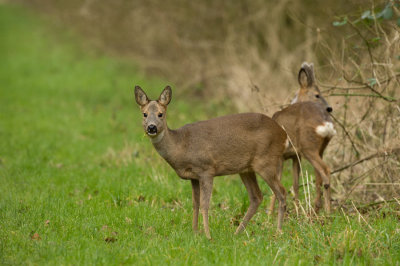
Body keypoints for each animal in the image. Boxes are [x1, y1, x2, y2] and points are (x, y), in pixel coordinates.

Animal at [134, 85, 288, 239]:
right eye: (144, 114)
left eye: (161, 114)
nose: (152, 127)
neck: (181, 145)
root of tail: (283, 134)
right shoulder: (194, 177)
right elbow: (195, 203)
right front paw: (195, 232)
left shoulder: (206, 169)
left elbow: (204, 204)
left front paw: (207, 235)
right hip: (246, 169)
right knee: (257, 196)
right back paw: (237, 232)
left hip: (266, 161)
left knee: (281, 192)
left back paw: (278, 232)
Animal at [270, 62, 336, 214]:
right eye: (317, 95)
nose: (330, 108)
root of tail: (326, 122)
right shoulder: (296, 156)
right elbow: (295, 184)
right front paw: (298, 211)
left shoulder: (279, 155)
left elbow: (276, 184)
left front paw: (269, 213)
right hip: (319, 149)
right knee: (319, 177)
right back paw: (317, 209)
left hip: (308, 147)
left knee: (326, 170)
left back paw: (327, 211)